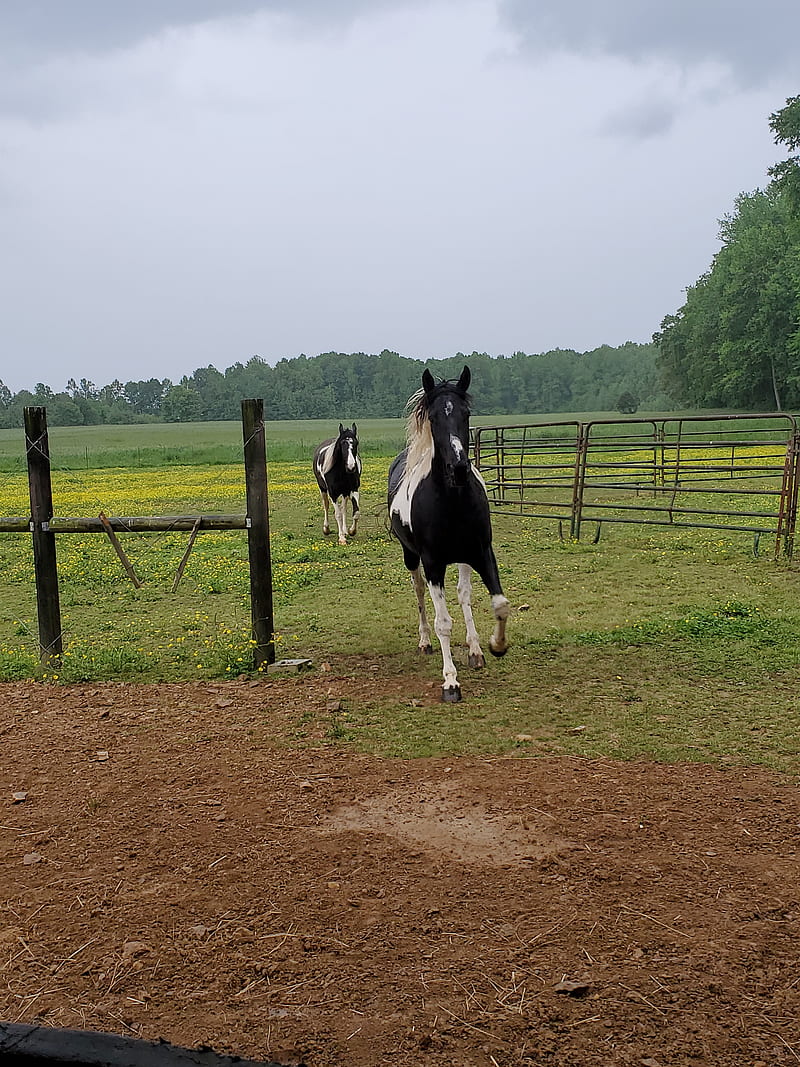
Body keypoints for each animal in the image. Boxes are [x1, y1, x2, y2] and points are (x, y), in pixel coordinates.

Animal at [390, 362, 514, 704]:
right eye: (433, 417)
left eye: (466, 413)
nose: (458, 468)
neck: (451, 500)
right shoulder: (433, 564)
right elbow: (443, 623)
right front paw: (450, 683)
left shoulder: (482, 552)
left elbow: (500, 604)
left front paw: (495, 646)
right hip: (412, 557)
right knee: (419, 592)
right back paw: (424, 642)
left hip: (462, 558)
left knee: (463, 595)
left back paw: (474, 651)